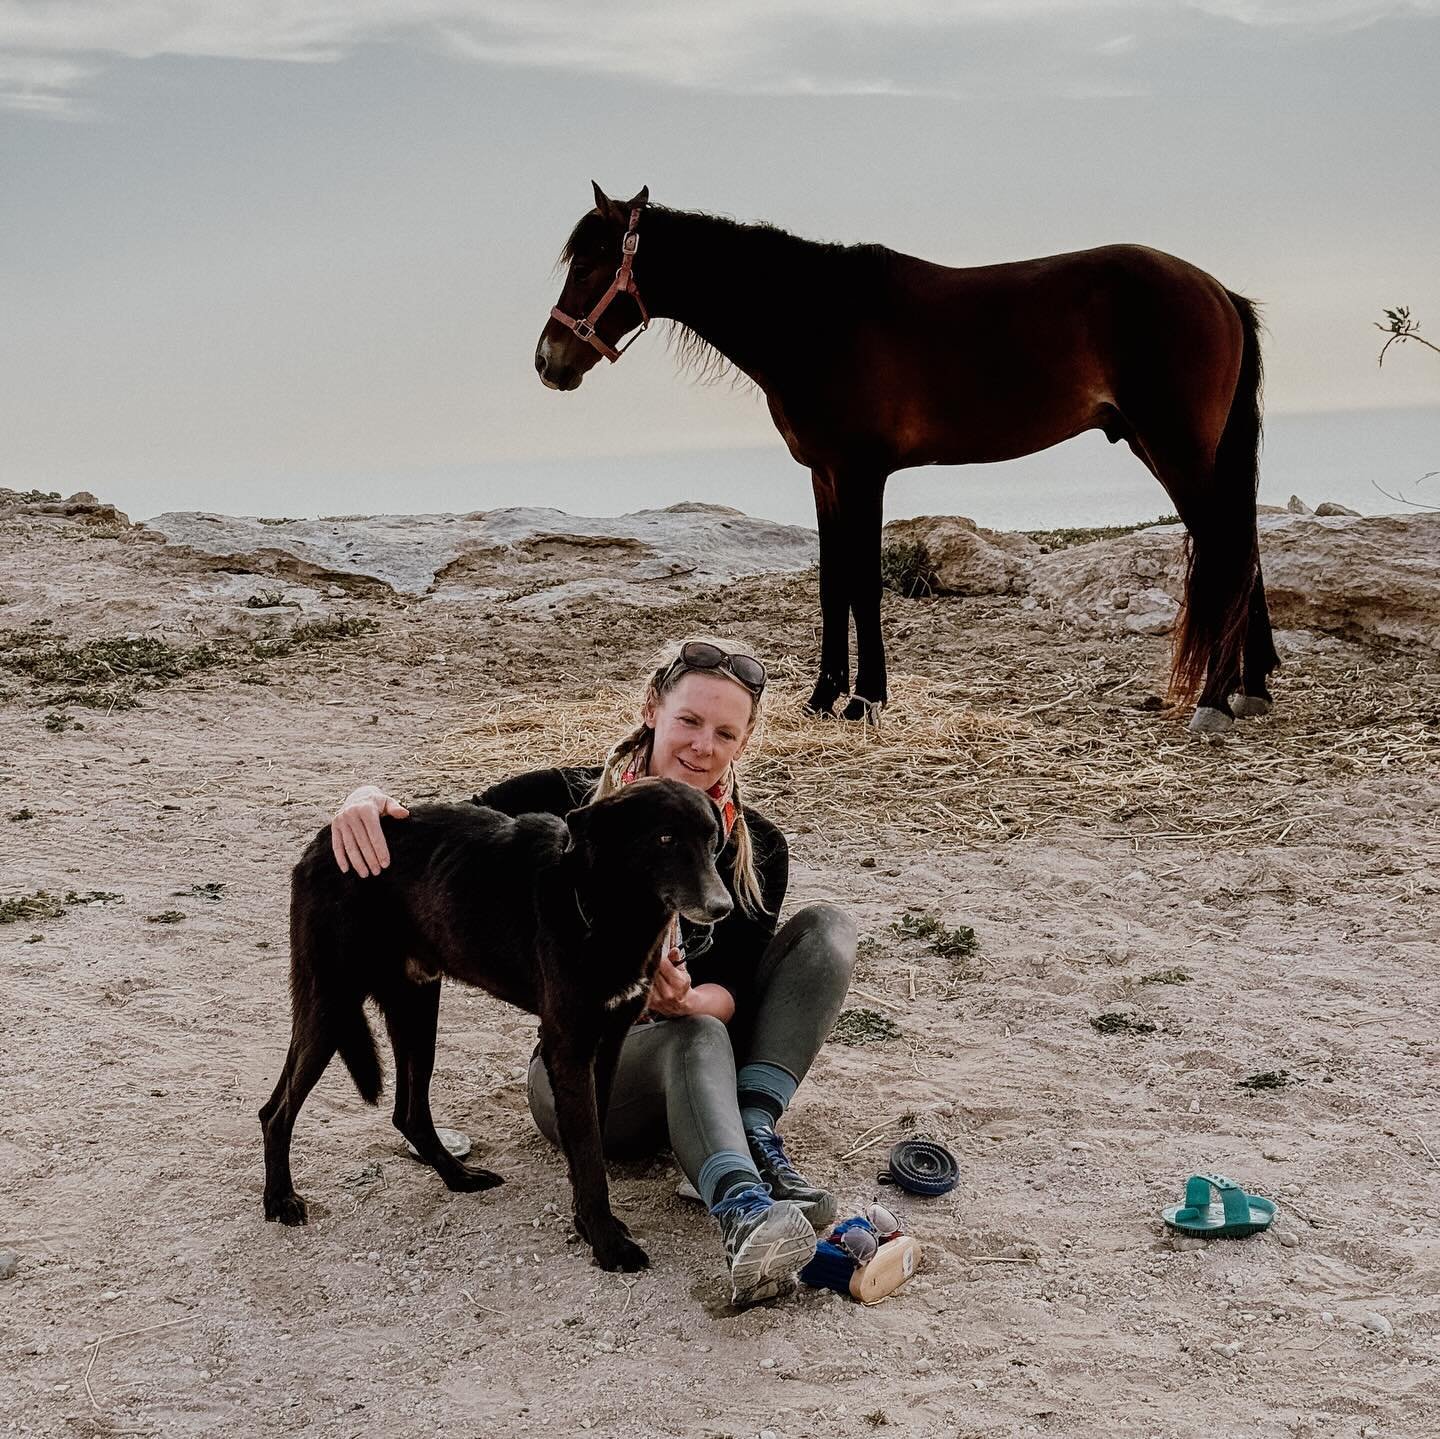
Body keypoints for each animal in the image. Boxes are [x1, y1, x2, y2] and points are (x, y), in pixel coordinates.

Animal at [257, 777, 731, 1273]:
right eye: (665, 838)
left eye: (712, 841)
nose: (722, 907)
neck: (602, 906)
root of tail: (322, 840)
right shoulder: (569, 1049)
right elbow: (587, 1155)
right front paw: (607, 1242)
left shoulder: (608, 1044)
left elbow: (593, 1145)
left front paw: (590, 1226)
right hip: (331, 1005)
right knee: (277, 1112)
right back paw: (280, 1199)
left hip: (416, 1013)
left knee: (407, 1113)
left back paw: (458, 1176)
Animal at [535, 184, 1278, 737]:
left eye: (587, 265)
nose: (548, 361)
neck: (815, 317)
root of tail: (1218, 291)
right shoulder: (825, 475)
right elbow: (833, 581)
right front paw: (823, 695)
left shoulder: (863, 473)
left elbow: (863, 582)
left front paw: (865, 698)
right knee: (1242, 548)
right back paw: (1253, 687)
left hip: (1179, 451)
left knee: (1226, 548)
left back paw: (1214, 700)